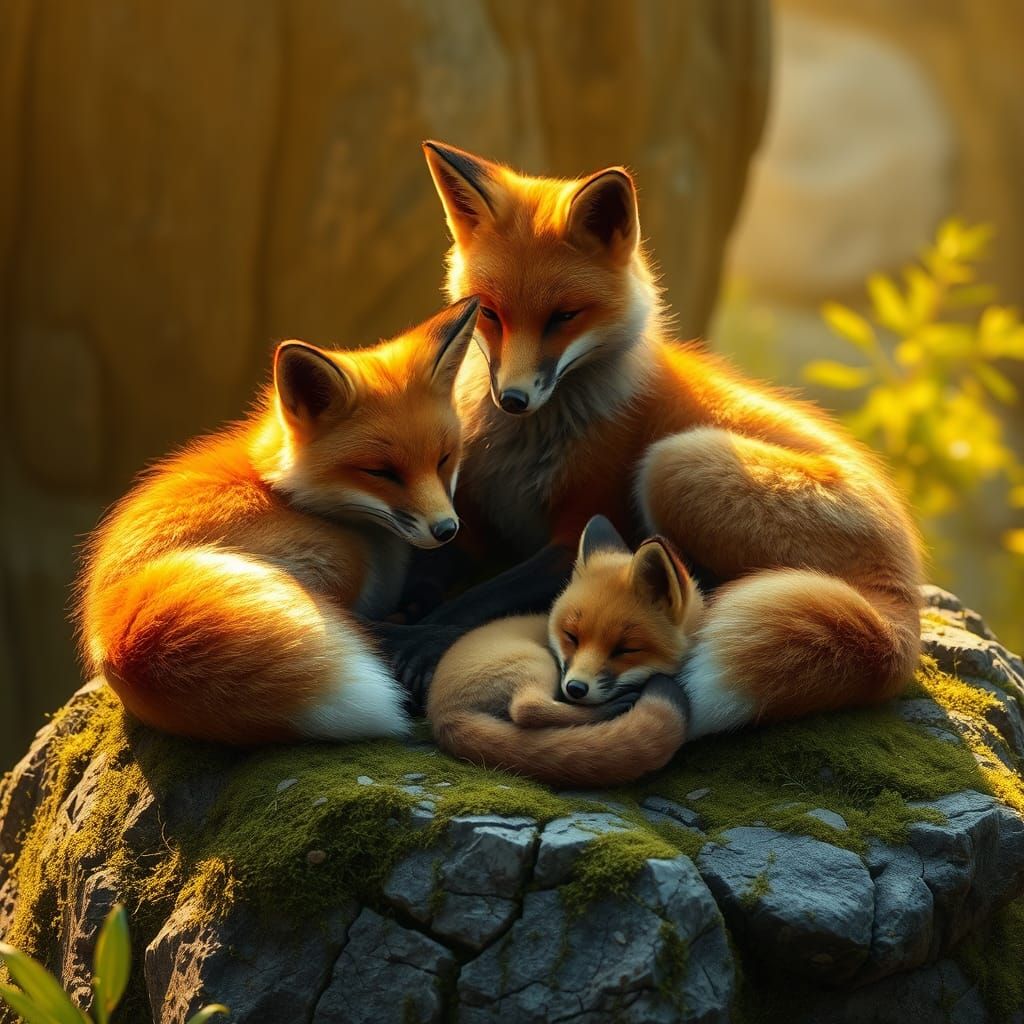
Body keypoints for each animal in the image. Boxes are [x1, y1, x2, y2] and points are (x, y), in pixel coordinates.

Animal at [77, 297, 480, 745]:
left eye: (444, 458)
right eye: (381, 472)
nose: (446, 530)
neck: (277, 486)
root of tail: (118, 626)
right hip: (339, 559)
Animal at [397, 141, 923, 744]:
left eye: (564, 316)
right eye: (488, 312)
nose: (512, 398)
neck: (525, 448)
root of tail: (905, 587)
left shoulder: (582, 527)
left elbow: (483, 596)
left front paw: (423, 638)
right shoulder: (473, 519)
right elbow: (435, 565)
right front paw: (404, 609)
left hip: (673, 461)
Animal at [428, 516, 701, 787]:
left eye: (626, 649)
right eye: (571, 636)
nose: (575, 689)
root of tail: (441, 715)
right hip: (538, 662)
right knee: (526, 709)